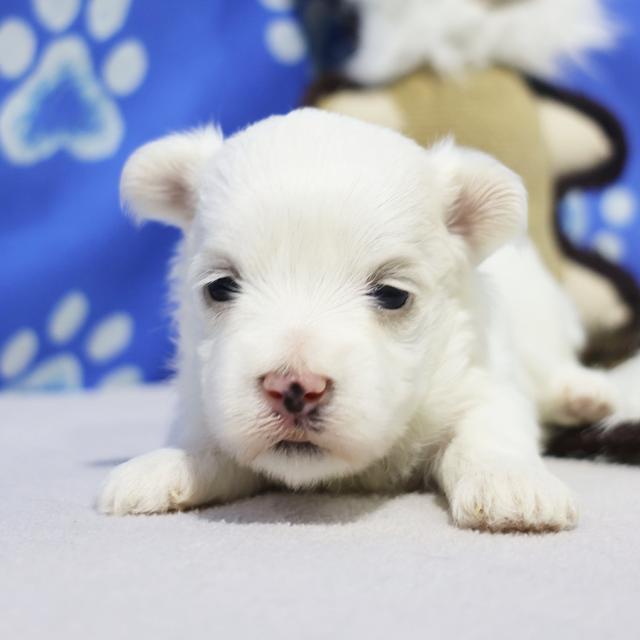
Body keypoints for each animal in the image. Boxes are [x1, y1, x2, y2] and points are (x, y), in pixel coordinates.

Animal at [101, 109, 620, 528]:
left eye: (392, 295)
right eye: (220, 287)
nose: (294, 386)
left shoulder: (482, 379)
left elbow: (487, 431)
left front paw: (511, 484)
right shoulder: (207, 399)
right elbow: (209, 444)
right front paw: (164, 466)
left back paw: (585, 394)